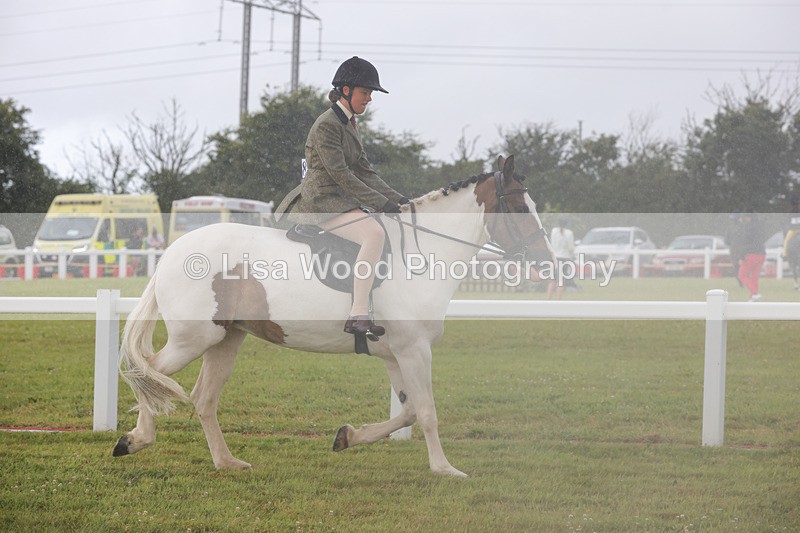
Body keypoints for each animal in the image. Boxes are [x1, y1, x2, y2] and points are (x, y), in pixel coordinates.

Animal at [112, 155, 554, 477]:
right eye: (518, 207)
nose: (548, 263)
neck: (422, 254)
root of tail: (171, 252)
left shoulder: (397, 354)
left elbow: (409, 410)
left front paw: (347, 437)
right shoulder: (415, 351)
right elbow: (427, 411)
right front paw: (444, 469)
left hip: (226, 339)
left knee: (203, 397)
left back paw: (227, 462)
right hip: (194, 338)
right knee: (147, 372)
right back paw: (135, 440)